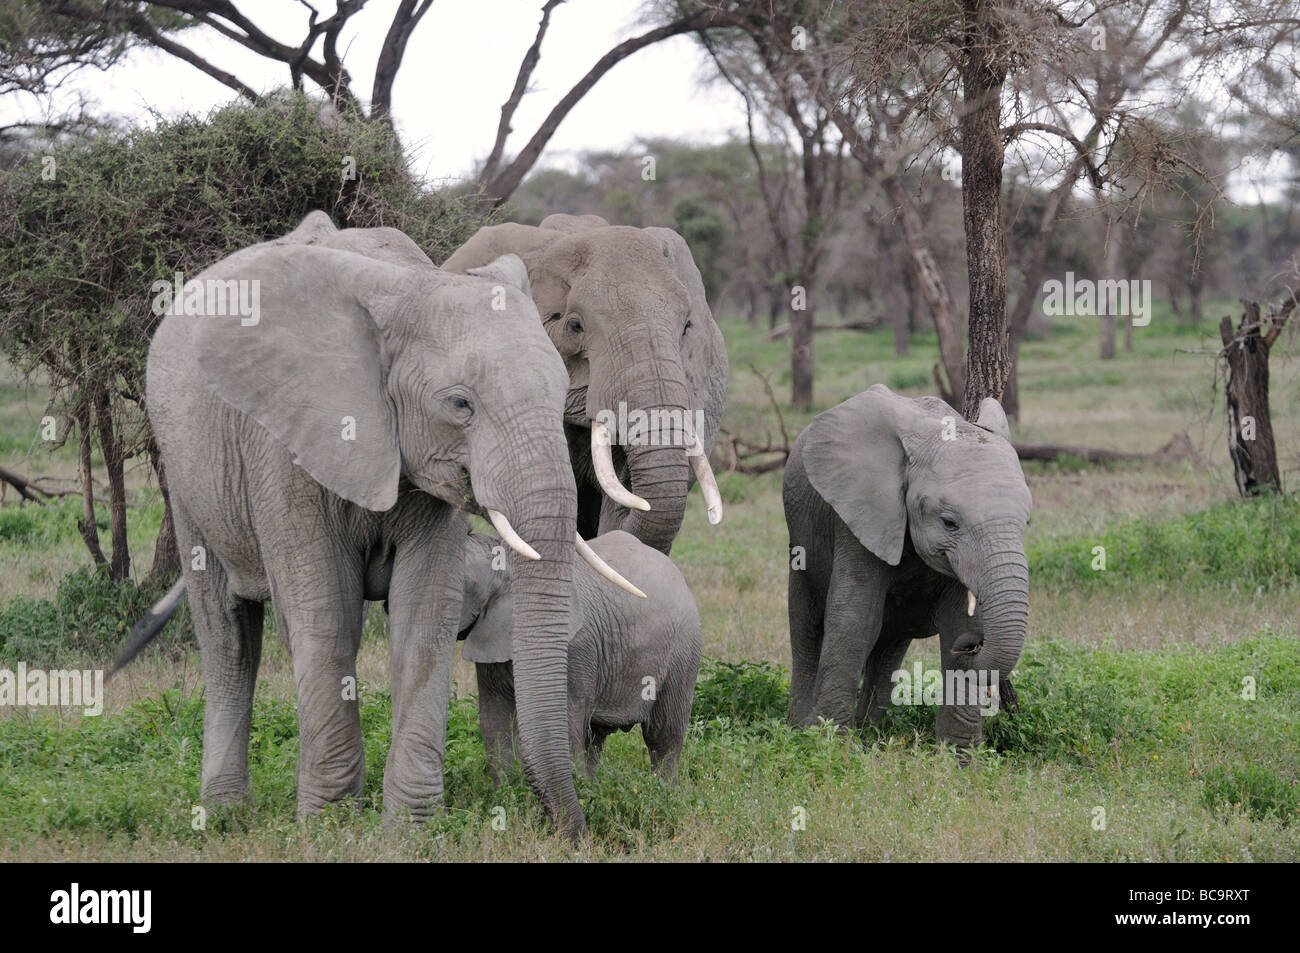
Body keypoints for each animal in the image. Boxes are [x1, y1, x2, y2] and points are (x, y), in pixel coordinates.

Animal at [144, 210, 637, 832]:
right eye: (459, 405)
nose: (574, 829)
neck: (408, 290)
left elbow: (424, 615)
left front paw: (408, 830)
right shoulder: (282, 448)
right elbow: (325, 619)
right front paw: (329, 826)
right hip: (185, 472)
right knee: (228, 636)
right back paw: (226, 817)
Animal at [457, 527, 702, 780]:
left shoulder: (573, 649)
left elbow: (562, 718)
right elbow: (495, 720)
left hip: (683, 648)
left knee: (662, 734)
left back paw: (663, 788)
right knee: (595, 736)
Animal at [780, 382, 1034, 748]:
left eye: (1026, 522)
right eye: (949, 522)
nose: (974, 643)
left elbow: (956, 621)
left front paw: (960, 756)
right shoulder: (860, 515)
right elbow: (854, 620)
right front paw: (829, 745)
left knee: (888, 650)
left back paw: (870, 734)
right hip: (801, 538)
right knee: (807, 625)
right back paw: (798, 729)